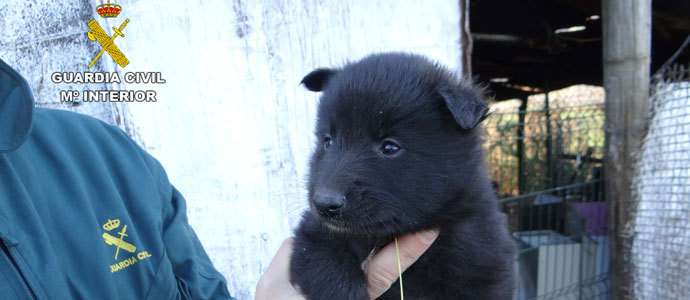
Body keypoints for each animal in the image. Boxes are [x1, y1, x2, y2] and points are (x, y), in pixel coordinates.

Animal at [288, 52, 512, 298]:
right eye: (328, 141)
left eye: (389, 147)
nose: (324, 203)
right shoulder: (312, 232)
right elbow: (324, 261)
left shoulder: (483, 261)